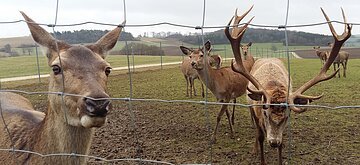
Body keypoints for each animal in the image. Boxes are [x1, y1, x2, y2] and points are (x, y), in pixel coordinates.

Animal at [181, 7, 255, 142]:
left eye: (201, 55)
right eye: (190, 56)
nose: (193, 63)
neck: (216, 85)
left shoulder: (227, 95)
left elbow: (219, 116)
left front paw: (213, 137)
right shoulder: (220, 98)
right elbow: (226, 114)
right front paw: (232, 132)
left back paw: (253, 124)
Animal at [226, 7, 350, 164]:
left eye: (287, 115)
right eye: (265, 113)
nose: (273, 142)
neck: (274, 86)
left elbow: (283, 143)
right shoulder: (257, 112)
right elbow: (260, 136)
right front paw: (260, 155)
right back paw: (254, 149)